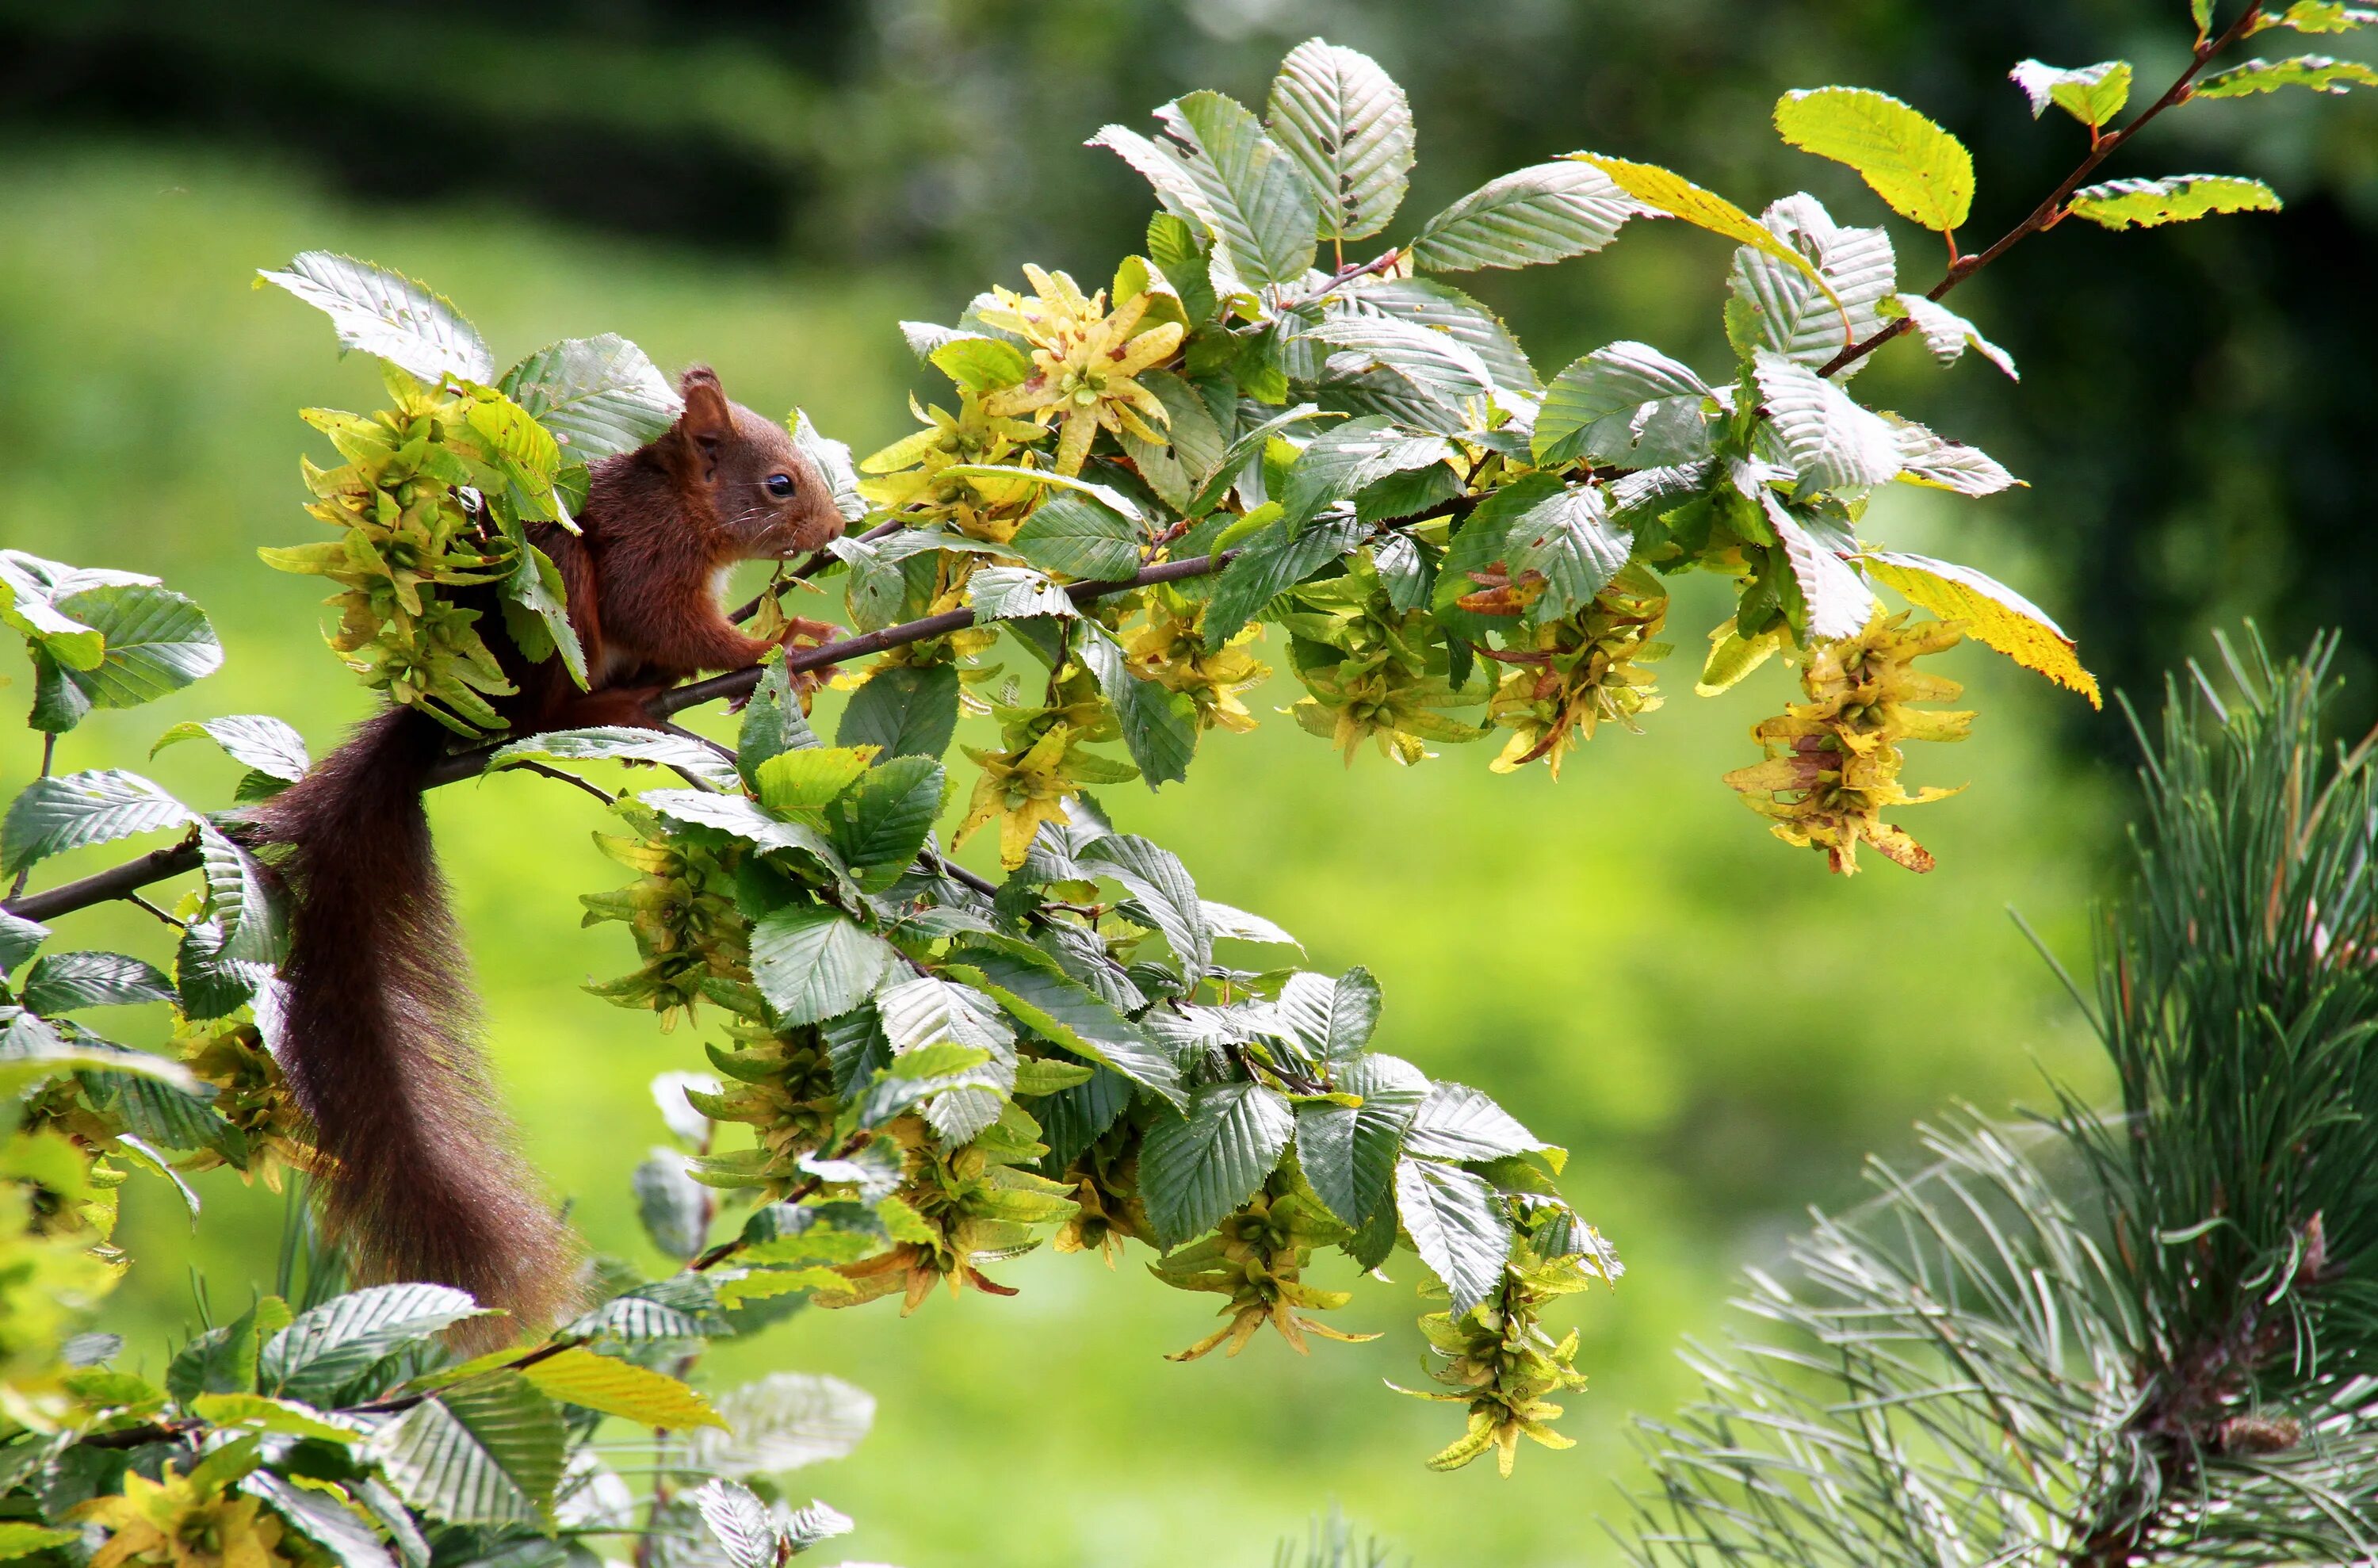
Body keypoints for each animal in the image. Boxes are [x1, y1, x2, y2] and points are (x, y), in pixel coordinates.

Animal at [260, 371, 847, 1341]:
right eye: (780, 486)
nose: (834, 533)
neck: (684, 503)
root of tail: (445, 726)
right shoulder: (651, 556)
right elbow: (676, 623)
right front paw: (781, 645)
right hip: (555, 612)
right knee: (542, 713)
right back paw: (614, 706)